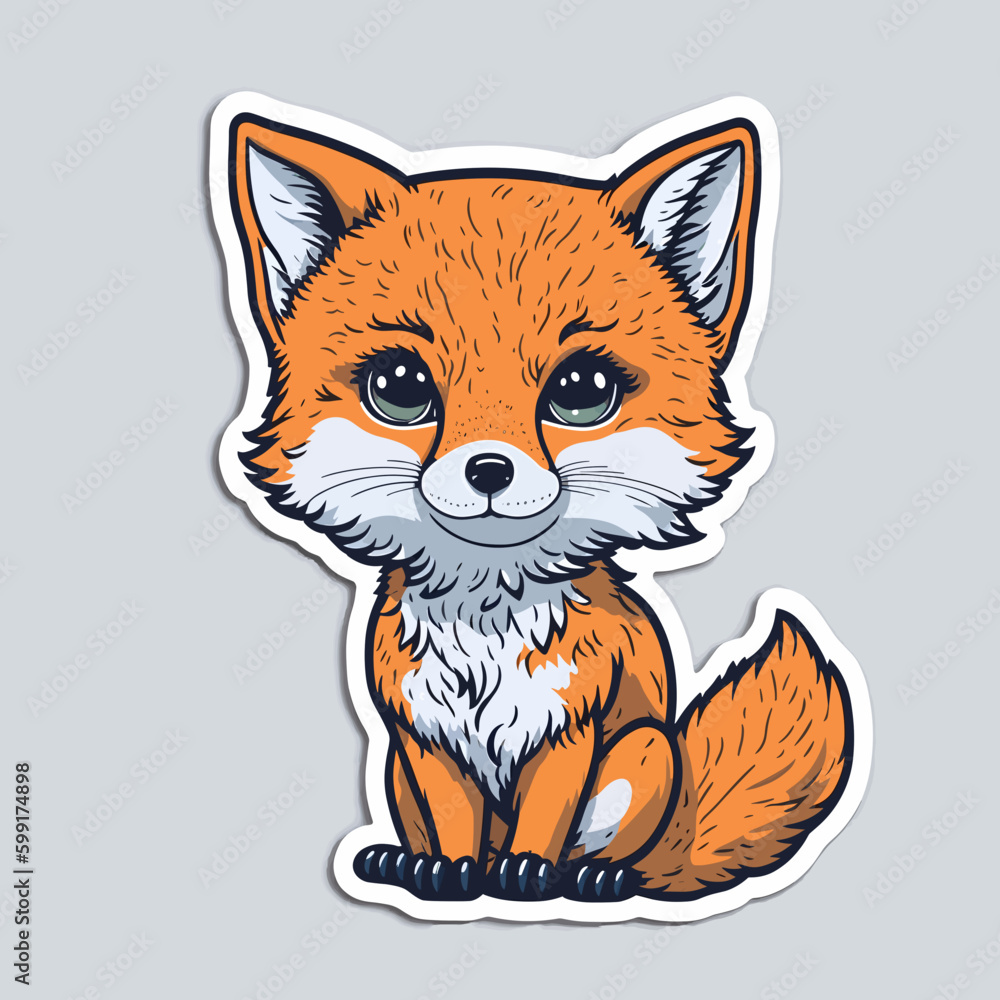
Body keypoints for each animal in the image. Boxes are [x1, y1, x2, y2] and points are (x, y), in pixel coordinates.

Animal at [210, 95, 870, 919]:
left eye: (582, 391)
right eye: (399, 387)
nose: (489, 469)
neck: (483, 631)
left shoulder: (571, 728)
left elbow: (546, 821)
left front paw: (527, 873)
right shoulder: (423, 736)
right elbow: (454, 825)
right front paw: (450, 874)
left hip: (645, 753)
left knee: (618, 855)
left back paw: (593, 879)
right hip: (393, 766)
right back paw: (405, 862)